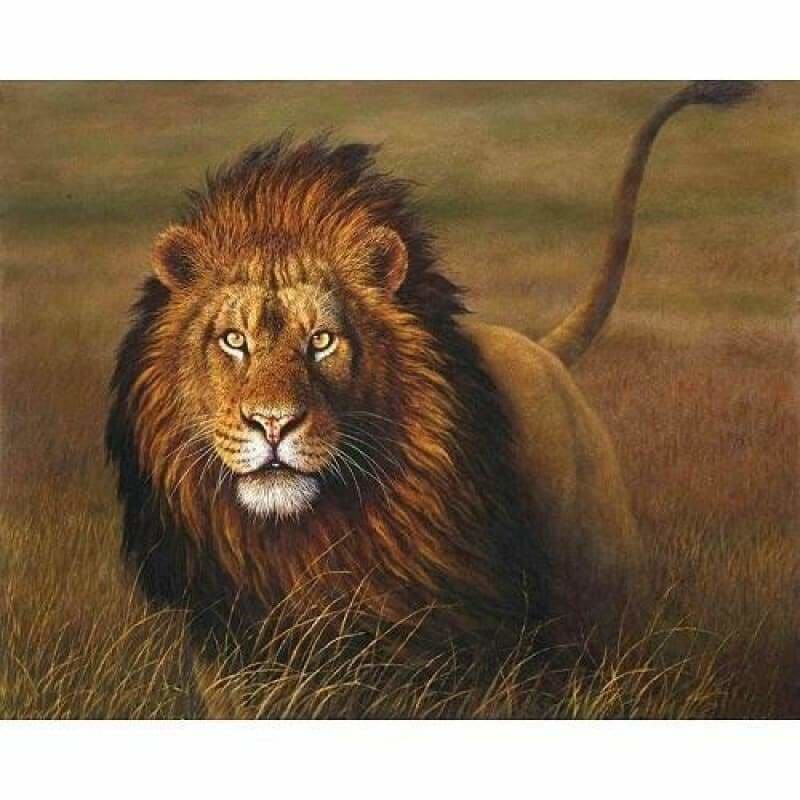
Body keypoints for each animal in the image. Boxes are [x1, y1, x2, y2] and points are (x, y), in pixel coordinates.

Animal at [106, 81, 755, 714]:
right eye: (233, 340)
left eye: (322, 341)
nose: (273, 423)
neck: (301, 542)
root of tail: (537, 345)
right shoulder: (233, 654)